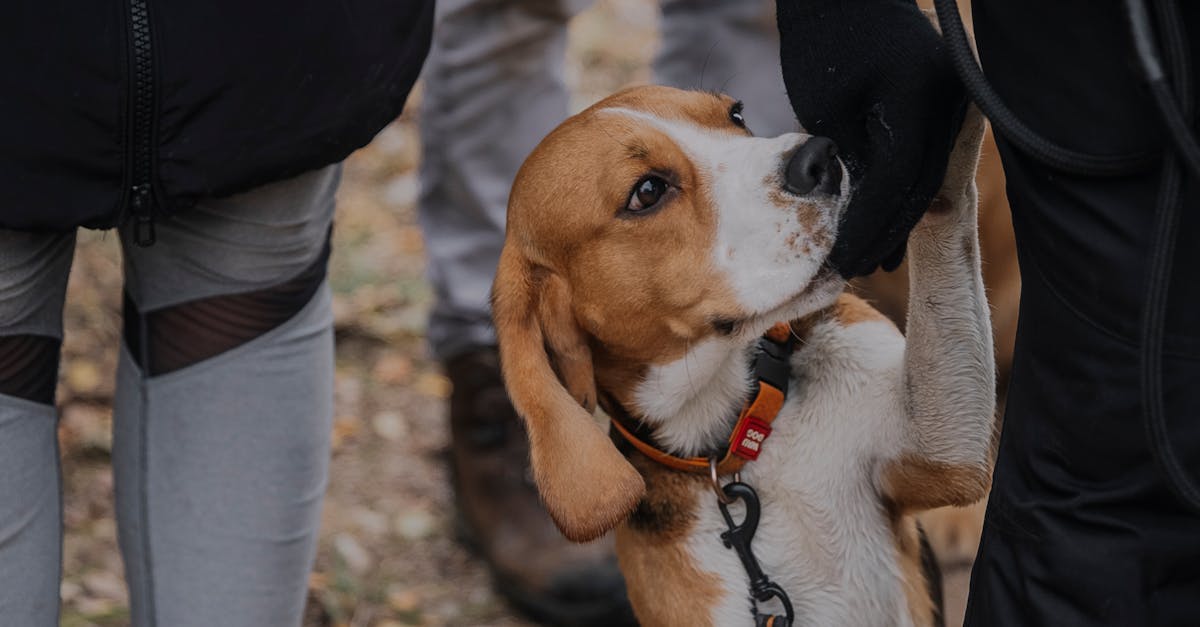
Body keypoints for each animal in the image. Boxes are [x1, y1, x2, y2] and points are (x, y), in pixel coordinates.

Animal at [492, 84, 988, 624]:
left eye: (735, 115)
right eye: (647, 192)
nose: (820, 157)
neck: (732, 438)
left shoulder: (942, 446)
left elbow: (946, 208)